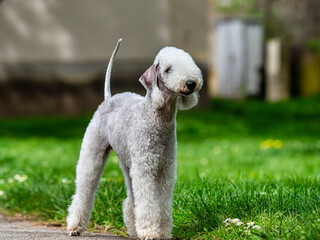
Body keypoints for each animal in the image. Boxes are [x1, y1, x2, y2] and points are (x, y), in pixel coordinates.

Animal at [67, 39, 202, 238]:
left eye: (190, 63)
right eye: (168, 69)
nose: (192, 83)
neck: (157, 118)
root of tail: (108, 98)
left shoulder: (166, 169)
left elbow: (163, 203)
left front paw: (163, 232)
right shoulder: (145, 169)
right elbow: (147, 202)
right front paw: (150, 232)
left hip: (128, 163)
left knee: (131, 197)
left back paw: (133, 229)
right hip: (94, 150)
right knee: (84, 188)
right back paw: (74, 226)